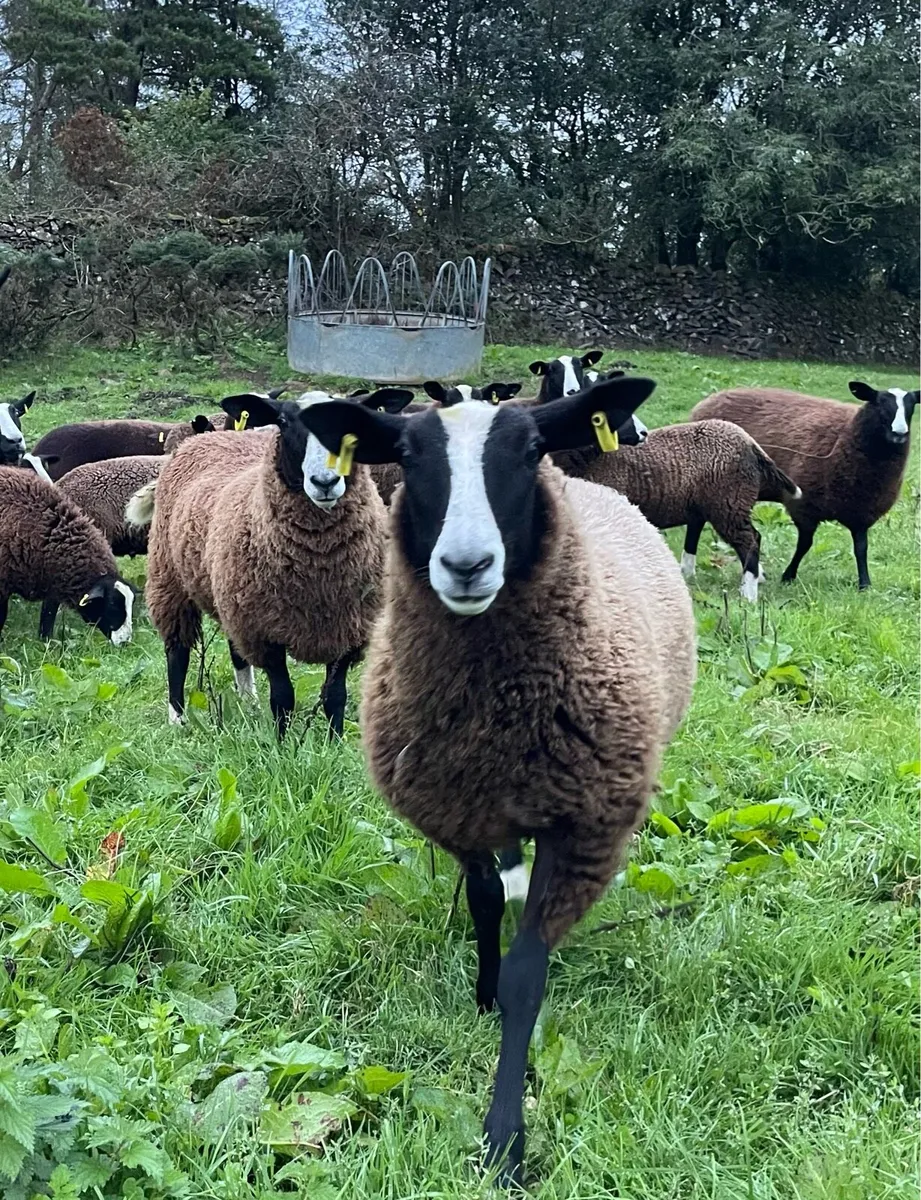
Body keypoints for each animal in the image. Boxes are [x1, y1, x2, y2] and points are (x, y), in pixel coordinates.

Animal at [134, 388, 403, 737]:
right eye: (285, 421)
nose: (325, 482)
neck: (319, 570)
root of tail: (206, 438)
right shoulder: (266, 632)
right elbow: (283, 697)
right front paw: (283, 743)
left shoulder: (350, 630)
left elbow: (335, 696)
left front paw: (334, 740)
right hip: (168, 577)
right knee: (176, 652)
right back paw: (178, 718)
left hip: (231, 595)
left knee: (236, 653)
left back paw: (249, 703)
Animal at [298, 377, 697, 1186]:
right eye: (406, 454)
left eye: (530, 448)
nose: (467, 565)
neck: (498, 713)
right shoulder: (459, 808)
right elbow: (482, 905)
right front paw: (481, 995)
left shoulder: (577, 828)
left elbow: (526, 977)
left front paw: (504, 1139)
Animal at [690, 381, 919, 589]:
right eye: (879, 403)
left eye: (912, 406)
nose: (899, 433)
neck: (844, 435)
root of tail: (709, 400)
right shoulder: (804, 507)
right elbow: (804, 545)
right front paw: (788, 576)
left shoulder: (861, 513)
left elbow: (861, 548)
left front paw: (865, 584)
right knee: (698, 523)